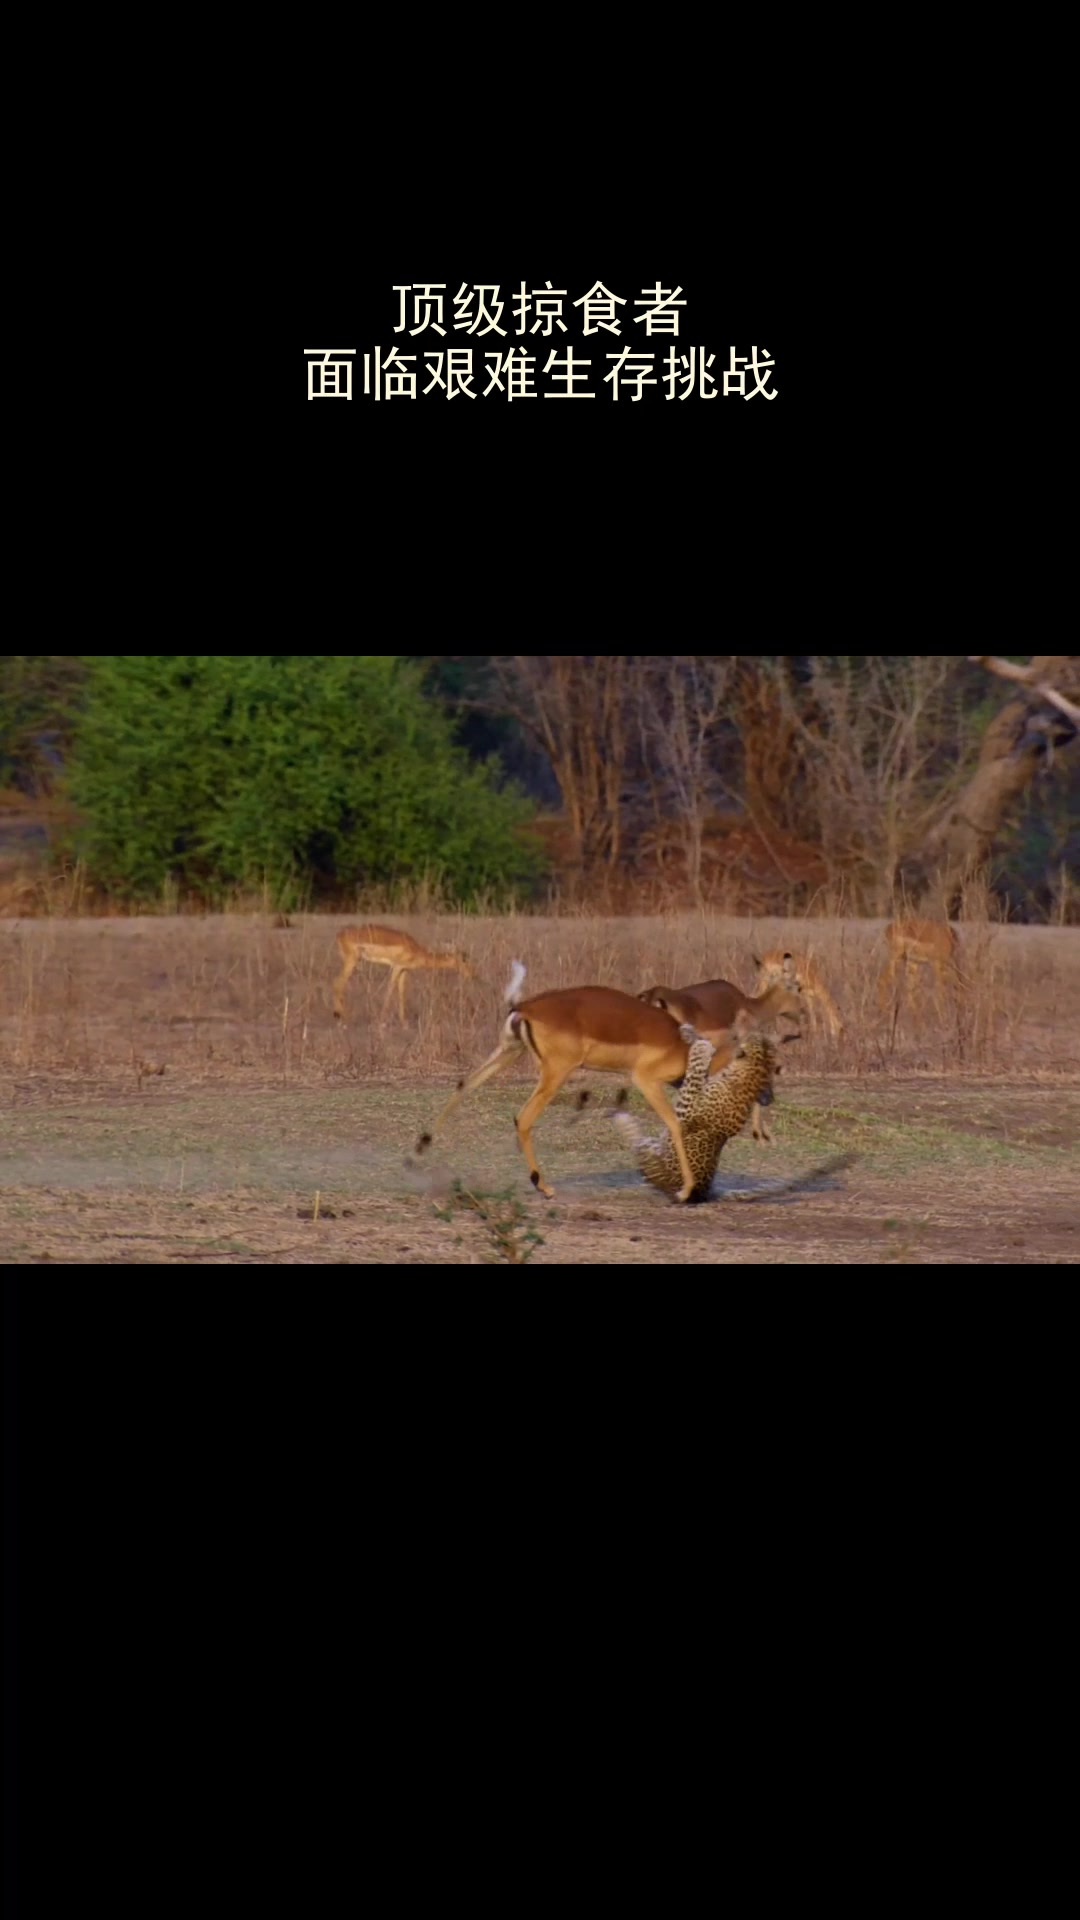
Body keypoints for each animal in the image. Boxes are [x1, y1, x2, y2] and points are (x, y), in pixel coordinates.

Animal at [611, 1021, 776, 1198]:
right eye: (758, 1037)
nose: (755, 1030)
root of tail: (704, 1191)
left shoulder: (687, 1102)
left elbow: (697, 1065)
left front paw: (702, 1044)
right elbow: (702, 1068)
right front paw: (693, 1035)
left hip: (652, 1156)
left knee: (638, 1143)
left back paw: (621, 1114)